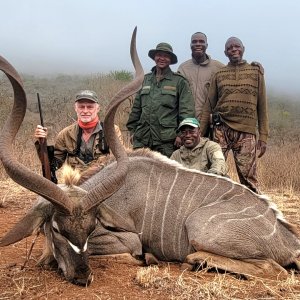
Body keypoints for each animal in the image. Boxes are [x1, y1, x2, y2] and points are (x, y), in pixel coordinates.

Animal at [0, 27, 300, 286]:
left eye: (90, 228)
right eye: (57, 229)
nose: (83, 277)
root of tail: (289, 240)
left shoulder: (128, 240)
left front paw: (147, 258)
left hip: (199, 228)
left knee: (273, 268)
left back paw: (194, 259)